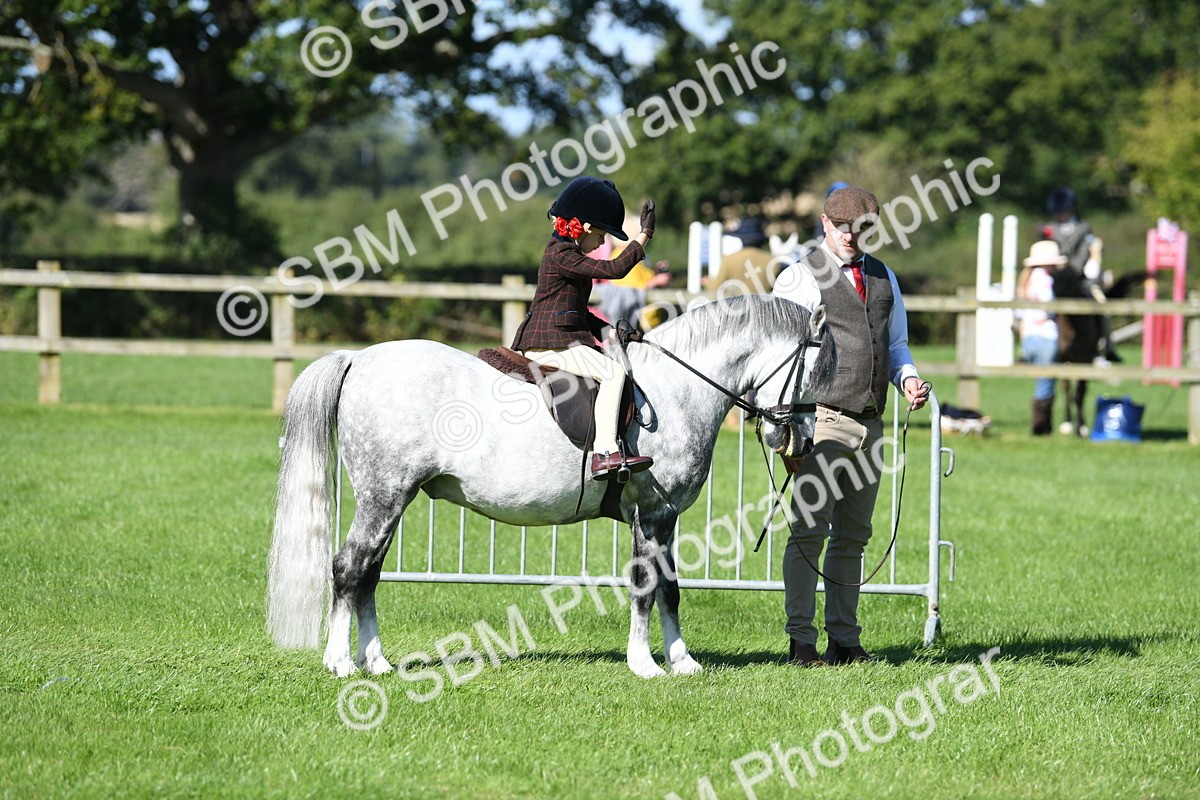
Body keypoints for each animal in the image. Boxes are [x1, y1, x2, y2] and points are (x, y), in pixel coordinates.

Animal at [266, 294, 835, 678]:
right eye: (812, 373)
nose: (802, 440)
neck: (678, 389)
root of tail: (358, 358)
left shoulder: (664, 517)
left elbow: (670, 588)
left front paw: (682, 662)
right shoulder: (653, 512)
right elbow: (647, 586)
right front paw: (645, 664)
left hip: (390, 500)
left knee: (368, 574)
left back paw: (377, 662)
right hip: (383, 497)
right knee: (350, 568)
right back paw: (341, 662)